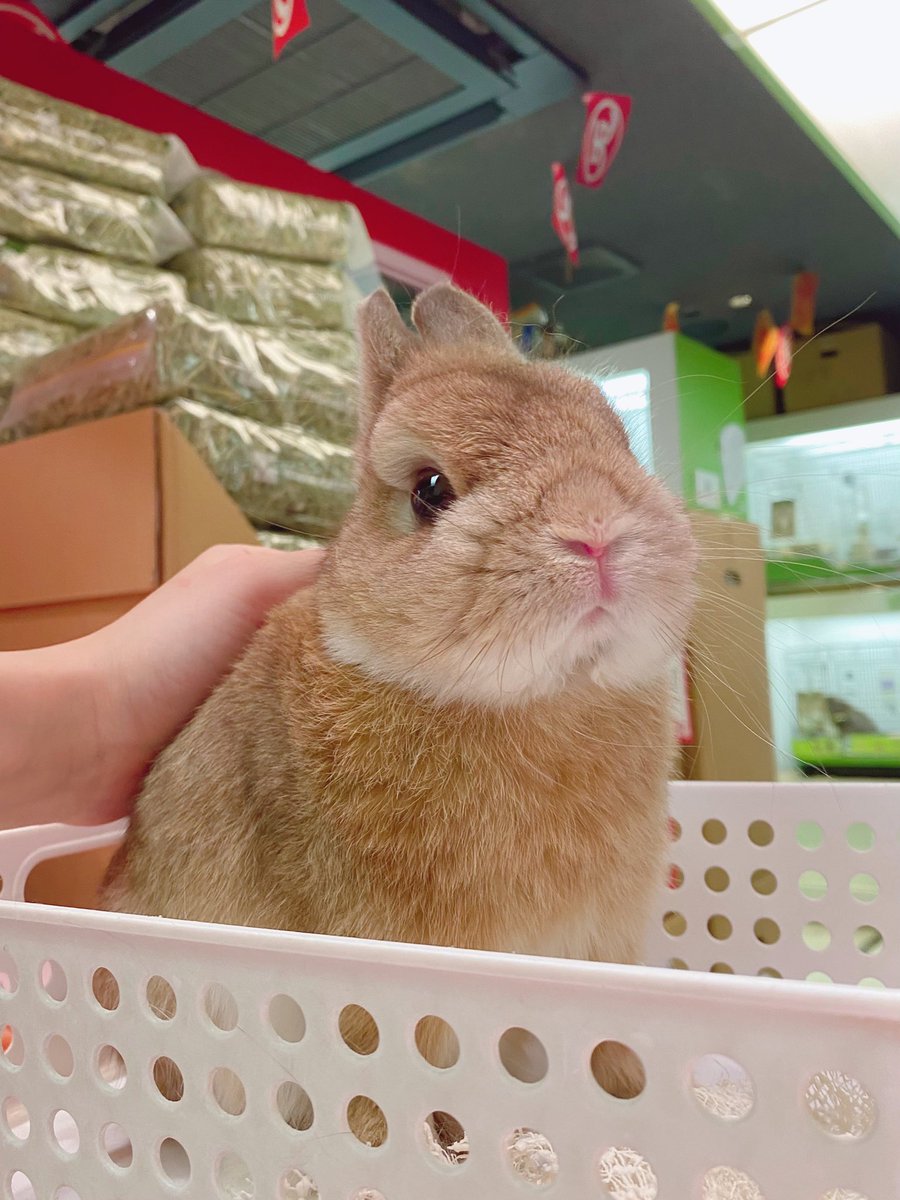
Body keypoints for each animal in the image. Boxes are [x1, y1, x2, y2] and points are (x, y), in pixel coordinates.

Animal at [100, 283, 698, 1131]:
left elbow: (610, 1057)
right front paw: (427, 1142)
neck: (536, 697)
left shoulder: (600, 953)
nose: (596, 533)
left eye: (618, 439)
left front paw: (630, 1098)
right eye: (430, 490)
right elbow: (381, 1101)